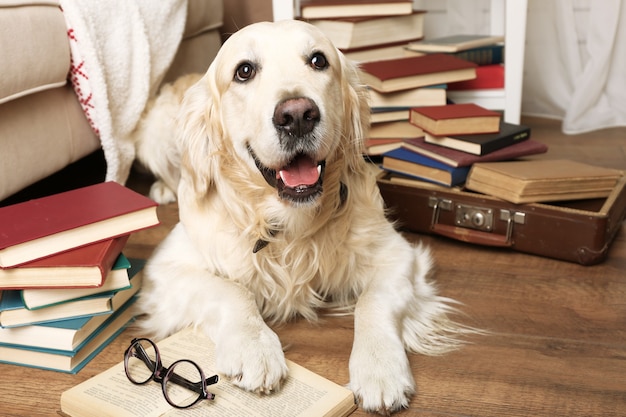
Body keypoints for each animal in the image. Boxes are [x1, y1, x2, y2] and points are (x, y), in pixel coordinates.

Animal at [138, 19, 468, 412]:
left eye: (318, 60)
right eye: (244, 71)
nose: (297, 115)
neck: (287, 221)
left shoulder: (398, 255)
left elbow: (373, 302)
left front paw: (379, 368)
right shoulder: (166, 266)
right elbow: (231, 290)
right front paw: (254, 346)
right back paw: (162, 188)